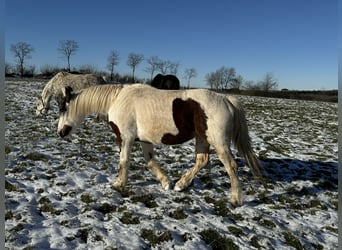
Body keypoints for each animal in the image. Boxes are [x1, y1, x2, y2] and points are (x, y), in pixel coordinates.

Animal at [56, 83, 264, 205]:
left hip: (219, 142)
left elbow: (124, 161)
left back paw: (235, 199)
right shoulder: (144, 141)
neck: (118, 99)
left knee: (231, 166)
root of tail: (226, 99)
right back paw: (181, 184)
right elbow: (150, 162)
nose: (60, 132)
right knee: (202, 160)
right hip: (202, 139)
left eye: (63, 108)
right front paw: (166, 183)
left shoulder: (125, 138)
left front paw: (118, 184)